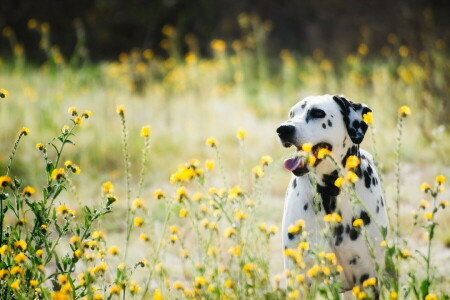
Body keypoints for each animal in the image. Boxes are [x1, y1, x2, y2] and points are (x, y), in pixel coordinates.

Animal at [276, 95, 388, 296]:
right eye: (291, 114)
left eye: (317, 113)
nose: (283, 129)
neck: (330, 191)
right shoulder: (300, 282)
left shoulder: (367, 279)